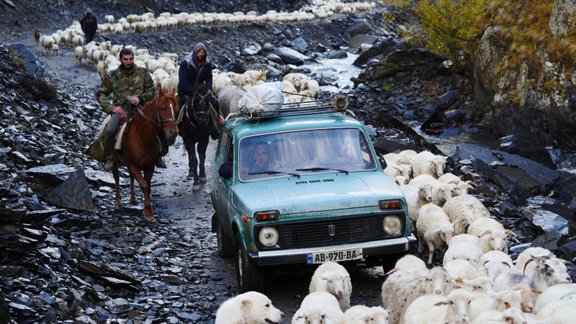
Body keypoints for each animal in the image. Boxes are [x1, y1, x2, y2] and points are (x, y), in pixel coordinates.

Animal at [111, 86, 178, 223]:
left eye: (176, 109)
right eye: (162, 108)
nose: (173, 133)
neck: (142, 137)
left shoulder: (149, 166)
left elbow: (147, 184)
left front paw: (148, 210)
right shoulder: (132, 164)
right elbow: (143, 184)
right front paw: (148, 212)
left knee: (131, 177)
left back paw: (133, 199)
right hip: (115, 161)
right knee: (116, 177)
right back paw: (118, 202)